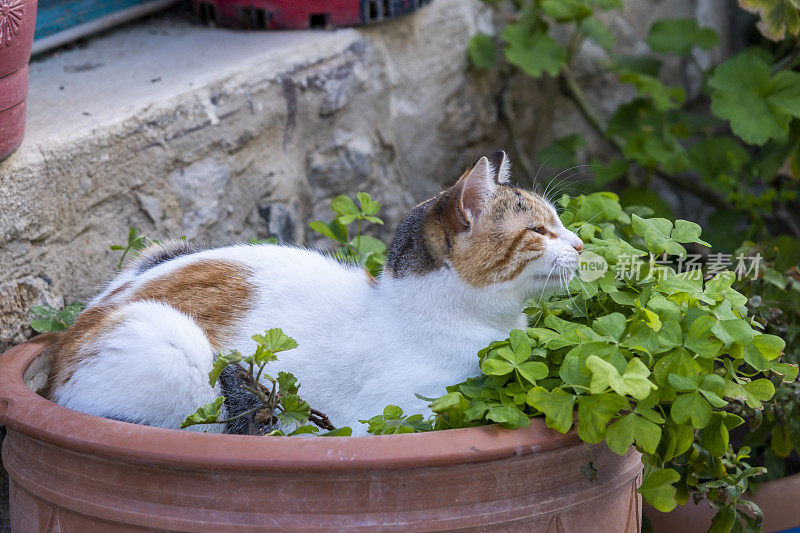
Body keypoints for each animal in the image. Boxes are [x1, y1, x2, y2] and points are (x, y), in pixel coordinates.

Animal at [45, 151, 580, 436]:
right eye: (538, 230)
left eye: (558, 222)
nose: (578, 243)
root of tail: (60, 350)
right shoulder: (386, 420)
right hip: (171, 344)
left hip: (161, 248)